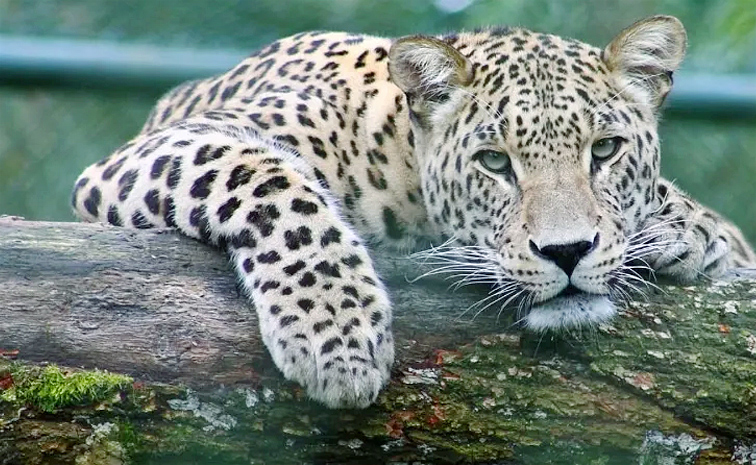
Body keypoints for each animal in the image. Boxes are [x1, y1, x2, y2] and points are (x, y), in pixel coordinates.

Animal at [71, 15, 756, 409]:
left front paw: (687, 231)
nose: (567, 253)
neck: (397, 155)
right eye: (494, 162)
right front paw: (337, 336)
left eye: (606, 150)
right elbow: (271, 182)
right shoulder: (157, 151)